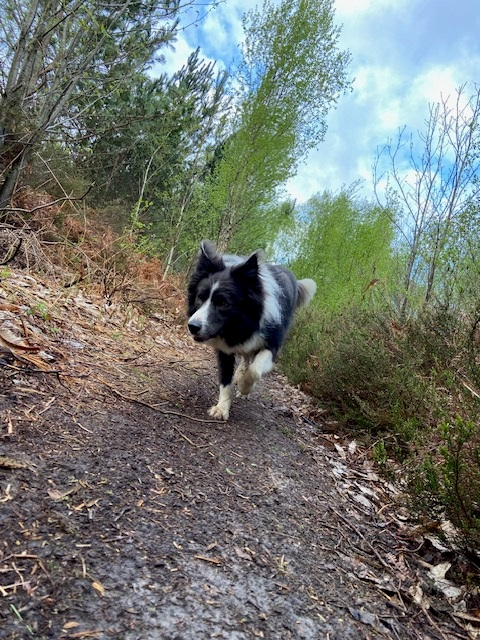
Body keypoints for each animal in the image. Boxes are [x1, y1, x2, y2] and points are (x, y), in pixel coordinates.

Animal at [187, 240, 316, 420]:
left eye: (223, 303)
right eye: (200, 297)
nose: (193, 326)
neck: (241, 325)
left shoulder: (272, 344)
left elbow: (255, 370)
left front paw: (244, 387)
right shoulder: (224, 348)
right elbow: (225, 379)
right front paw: (222, 408)